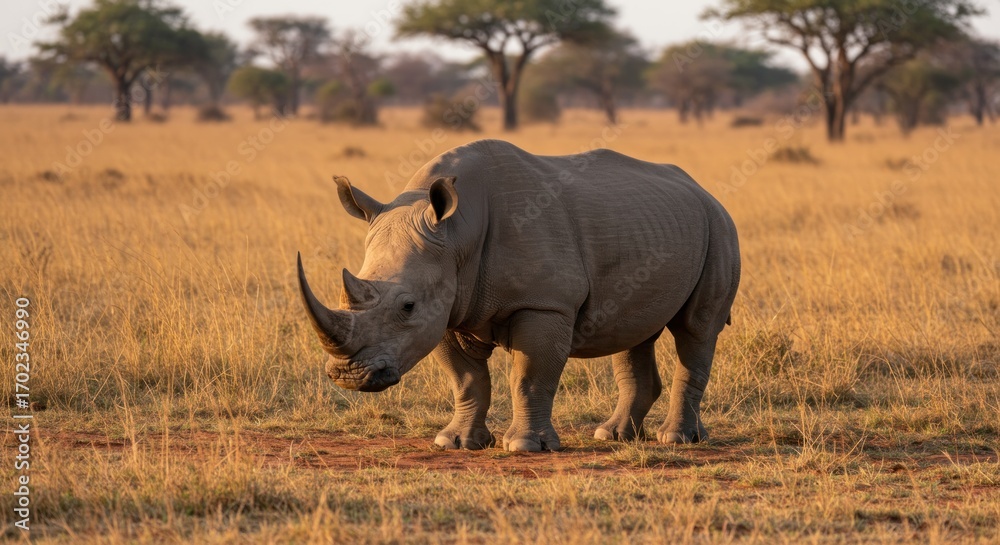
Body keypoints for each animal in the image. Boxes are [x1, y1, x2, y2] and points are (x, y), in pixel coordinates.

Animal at [297, 139, 740, 452]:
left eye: (407, 306)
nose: (348, 376)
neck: (457, 233)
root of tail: (702, 189)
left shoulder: (544, 304)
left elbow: (529, 376)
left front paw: (526, 447)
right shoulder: (448, 308)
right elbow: (466, 379)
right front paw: (456, 443)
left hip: (719, 226)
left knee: (697, 330)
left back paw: (677, 439)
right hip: (654, 225)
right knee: (635, 333)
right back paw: (613, 436)